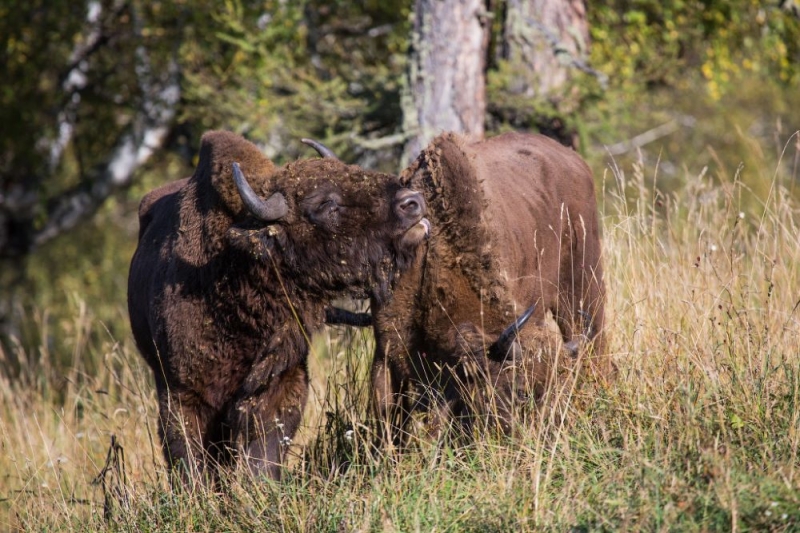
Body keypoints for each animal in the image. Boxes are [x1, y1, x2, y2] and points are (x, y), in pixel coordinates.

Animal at [130, 130, 432, 482]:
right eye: (326, 204)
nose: (413, 202)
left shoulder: (281, 382)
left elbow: (265, 450)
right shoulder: (180, 395)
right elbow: (188, 458)